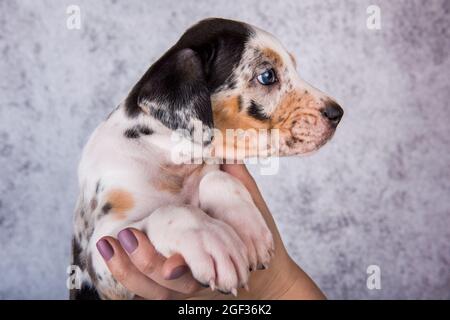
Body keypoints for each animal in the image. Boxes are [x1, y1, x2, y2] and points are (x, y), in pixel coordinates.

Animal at [71, 18, 344, 300]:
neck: (172, 159)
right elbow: (172, 211)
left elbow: (215, 178)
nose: (338, 114)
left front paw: (249, 230)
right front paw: (211, 240)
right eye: (267, 76)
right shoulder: (101, 252)